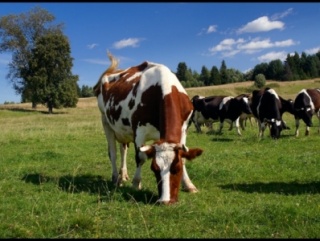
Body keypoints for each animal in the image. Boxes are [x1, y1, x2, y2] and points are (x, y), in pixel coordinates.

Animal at [92, 52, 202, 203]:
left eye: (177, 168)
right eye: (154, 169)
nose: (166, 201)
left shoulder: (183, 129)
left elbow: (184, 157)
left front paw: (189, 185)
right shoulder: (139, 131)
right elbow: (141, 157)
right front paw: (136, 184)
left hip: (123, 129)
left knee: (123, 149)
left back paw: (123, 175)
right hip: (106, 122)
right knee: (113, 153)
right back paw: (116, 178)